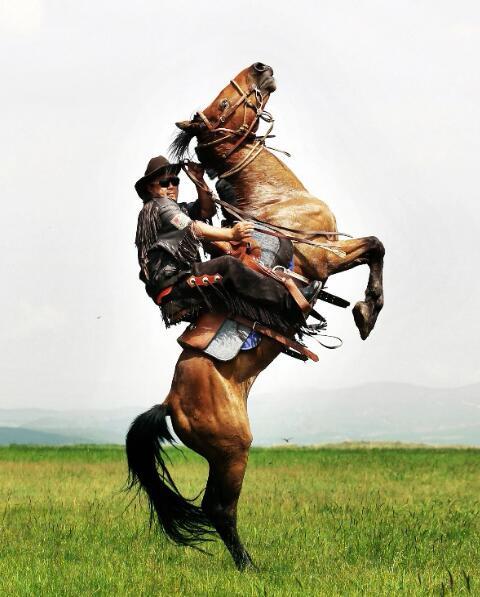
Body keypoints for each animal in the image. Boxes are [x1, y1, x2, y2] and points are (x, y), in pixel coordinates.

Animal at [125, 62, 384, 572]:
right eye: (223, 104)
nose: (261, 68)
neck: (275, 201)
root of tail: (169, 403)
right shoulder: (324, 258)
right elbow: (375, 247)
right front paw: (367, 311)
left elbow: (375, 247)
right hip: (232, 451)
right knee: (218, 508)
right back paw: (249, 566)